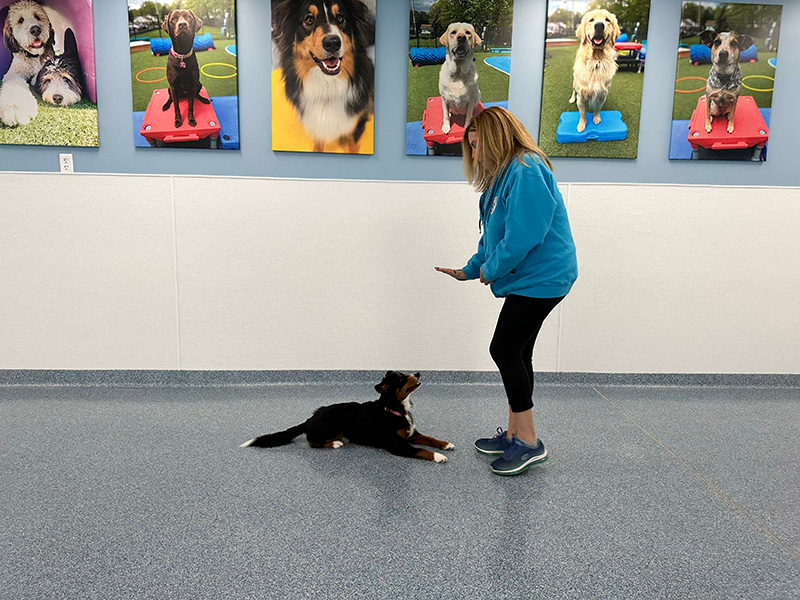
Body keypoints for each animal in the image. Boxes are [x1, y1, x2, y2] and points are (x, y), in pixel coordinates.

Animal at [238, 370, 454, 464]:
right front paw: (438, 456)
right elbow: (421, 450)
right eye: (401, 379)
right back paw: (334, 443)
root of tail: (312, 417)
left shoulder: (411, 433)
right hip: (333, 425)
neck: (394, 409)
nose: (418, 372)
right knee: (311, 441)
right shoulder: (397, 445)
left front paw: (446, 444)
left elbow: (430, 439)